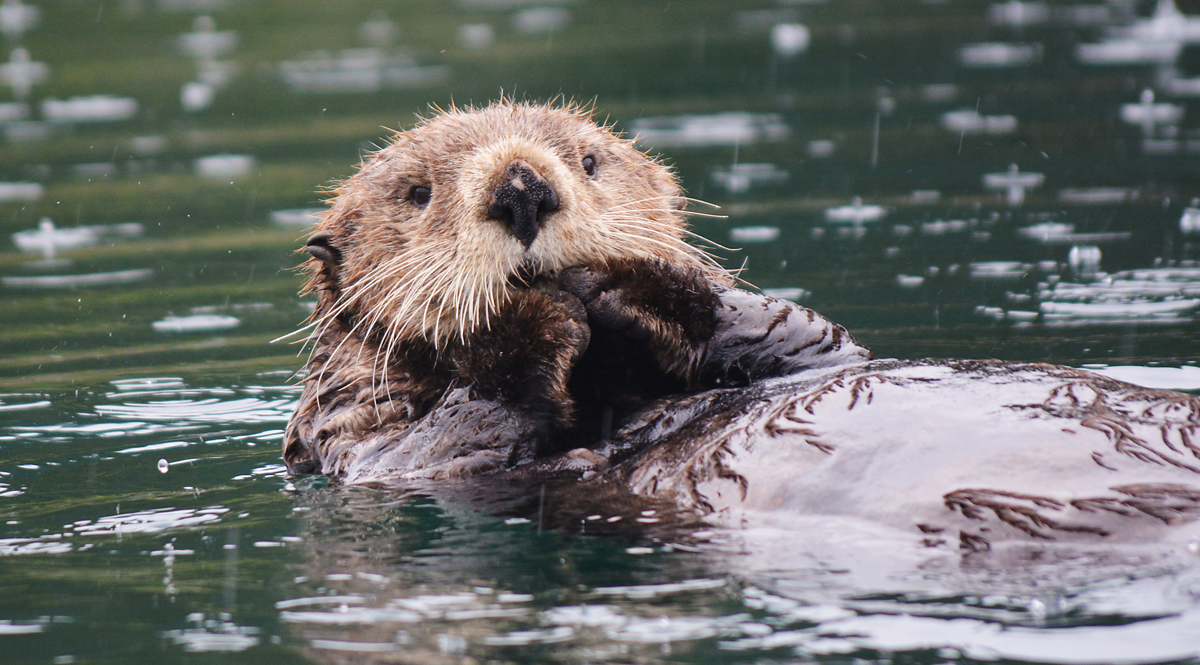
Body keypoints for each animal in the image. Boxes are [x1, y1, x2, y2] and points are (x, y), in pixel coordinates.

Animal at [283, 97, 1200, 542]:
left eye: (589, 160)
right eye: (417, 193)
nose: (522, 187)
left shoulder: (813, 349)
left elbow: (801, 335)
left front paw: (623, 284)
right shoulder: (362, 441)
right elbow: (439, 445)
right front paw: (536, 318)